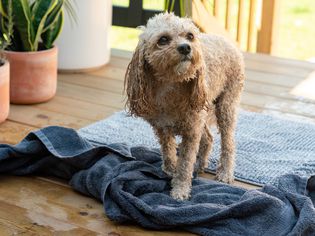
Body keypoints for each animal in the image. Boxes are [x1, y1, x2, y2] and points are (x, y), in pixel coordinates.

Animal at [124, 12, 246, 200]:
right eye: (163, 39)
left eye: (190, 36)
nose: (185, 48)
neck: (171, 87)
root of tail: (226, 41)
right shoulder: (162, 128)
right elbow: (168, 152)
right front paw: (169, 169)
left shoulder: (191, 131)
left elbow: (184, 164)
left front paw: (180, 190)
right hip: (201, 113)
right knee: (208, 138)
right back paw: (200, 165)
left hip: (226, 106)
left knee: (228, 143)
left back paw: (225, 173)